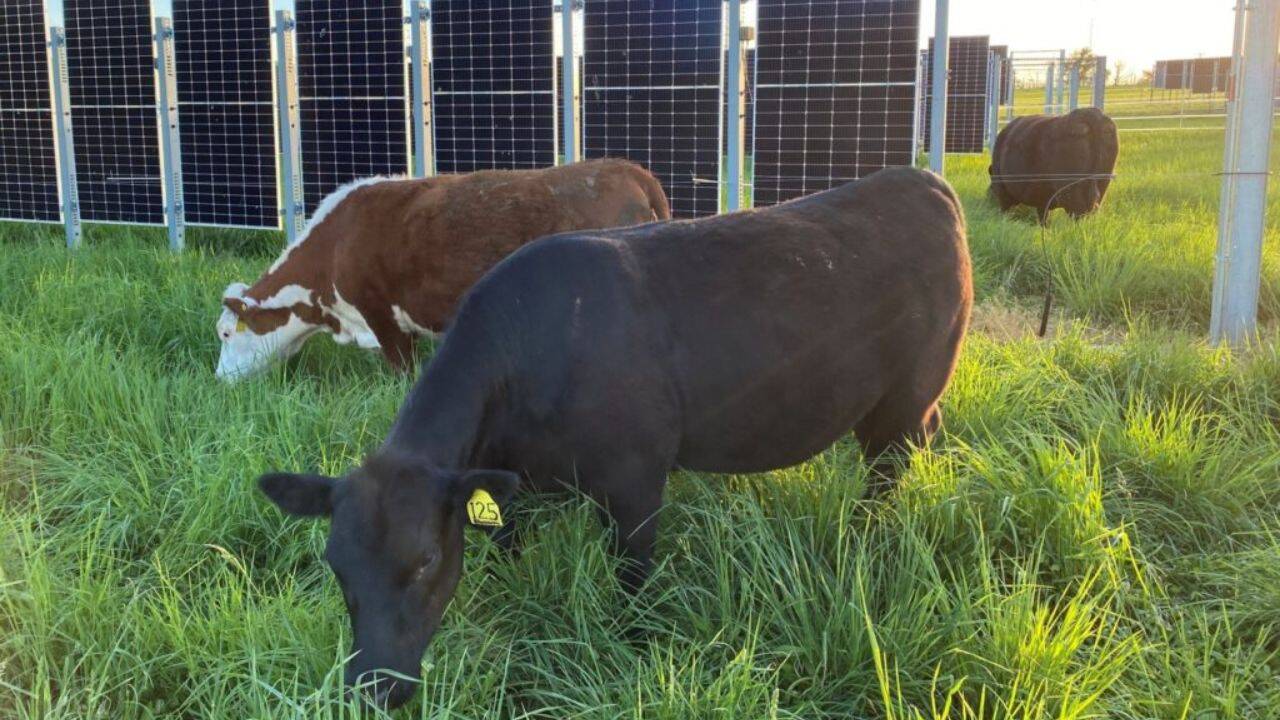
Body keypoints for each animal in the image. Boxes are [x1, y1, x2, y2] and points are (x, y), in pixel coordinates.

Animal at [256, 166, 973, 709]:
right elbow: (509, 547)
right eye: (335, 565)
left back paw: (870, 545)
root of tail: (919, 178)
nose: (371, 689)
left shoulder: (635, 480)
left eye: (426, 560)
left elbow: (632, 581)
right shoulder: (506, 481)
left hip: (909, 392)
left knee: (889, 469)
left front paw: (632, 645)